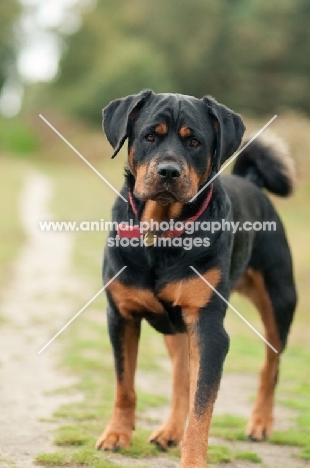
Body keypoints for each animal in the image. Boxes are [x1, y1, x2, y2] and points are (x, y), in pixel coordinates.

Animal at [95, 89, 296, 466]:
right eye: (150, 136)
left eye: (195, 142)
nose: (168, 171)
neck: (162, 233)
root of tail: (253, 183)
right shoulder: (121, 316)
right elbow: (124, 384)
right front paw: (116, 434)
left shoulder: (209, 328)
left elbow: (202, 408)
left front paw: (192, 459)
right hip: (177, 328)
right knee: (180, 378)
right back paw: (169, 430)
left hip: (280, 301)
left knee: (270, 366)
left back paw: (260, 423)